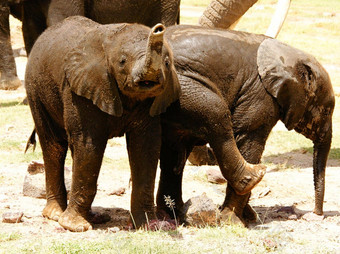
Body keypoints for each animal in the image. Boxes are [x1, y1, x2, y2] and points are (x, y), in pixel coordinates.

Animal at [23, 16, 181, 232]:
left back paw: (94, 217)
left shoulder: (151, 99)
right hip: (36, 90)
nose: (158, 29)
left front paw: (150, 225)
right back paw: (55, 214)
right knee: (54, 146)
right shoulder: (79, 88)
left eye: (166, 62)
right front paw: (75, 227)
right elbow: (89, 144)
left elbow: (146, 147)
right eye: (122, 61)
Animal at [156, 25, 334, 224]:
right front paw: (233, 220)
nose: (316, 214)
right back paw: (255, 177)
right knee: (215, 111)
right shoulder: (260, 94)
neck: (289, 54)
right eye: (326, 111)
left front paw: (248, 216)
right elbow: (249, 141)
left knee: (174, 154)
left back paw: (174, 214)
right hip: (177, 86)